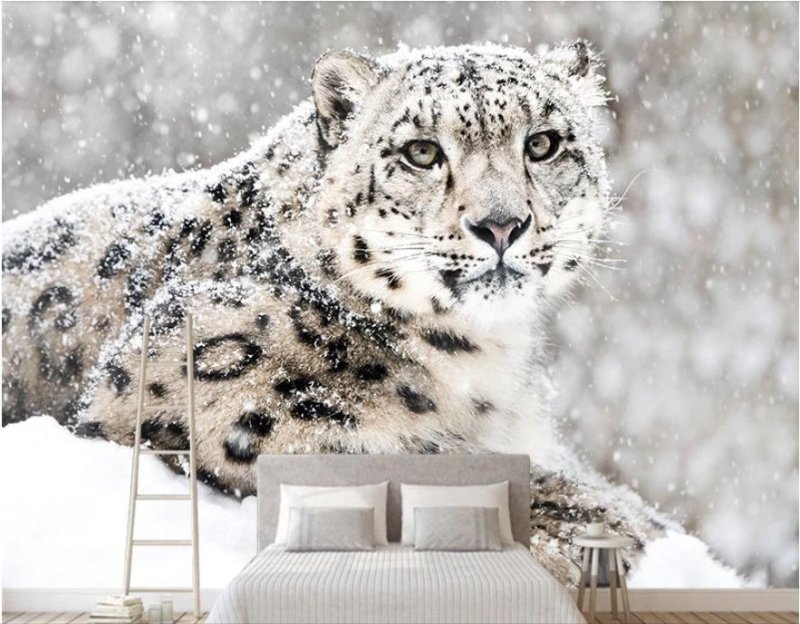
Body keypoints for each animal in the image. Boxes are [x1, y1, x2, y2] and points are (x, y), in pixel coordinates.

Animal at [2, 42, 725, 586]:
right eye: (422, 151)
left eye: (543, 143)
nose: (501, 224)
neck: (484, 361)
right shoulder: (194, 381)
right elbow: (411, 456)